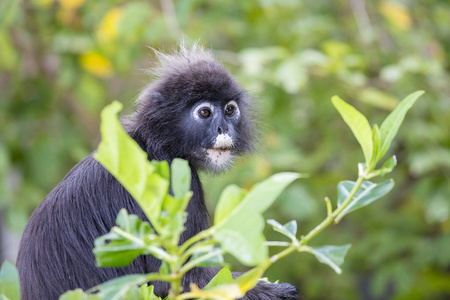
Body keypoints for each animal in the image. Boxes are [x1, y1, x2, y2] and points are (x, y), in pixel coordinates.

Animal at [16, 44, 298, 300]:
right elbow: (183, 281)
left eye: (229, 110)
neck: (156, 143)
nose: (223, 129)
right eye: (205, 112)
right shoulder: (175, 179)